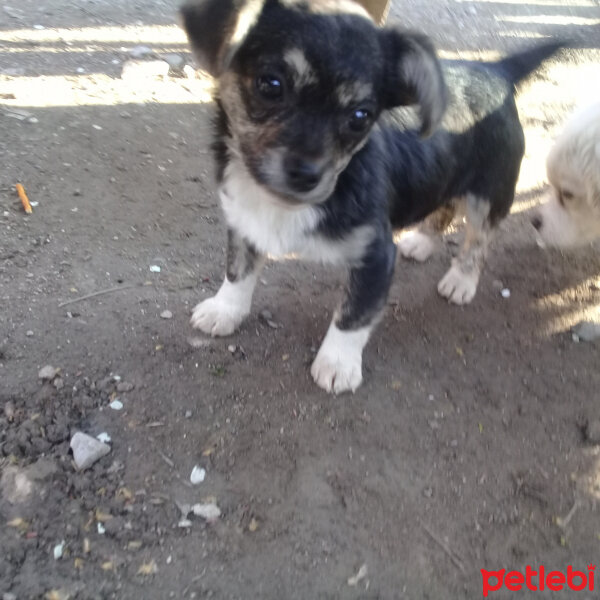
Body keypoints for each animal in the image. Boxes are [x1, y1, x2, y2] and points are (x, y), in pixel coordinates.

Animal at [180, 0, 560, 396]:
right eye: (271, 85)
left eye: (360, 116)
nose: (307, 175)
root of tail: (496, 71)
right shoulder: (244, 223)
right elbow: (237, 270)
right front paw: (224, 310)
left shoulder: (376, 255)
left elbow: (353, 315)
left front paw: (337, 364)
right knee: (444, 205)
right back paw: (423, 242)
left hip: (490, 193)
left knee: (479, 239)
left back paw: (462, 281)